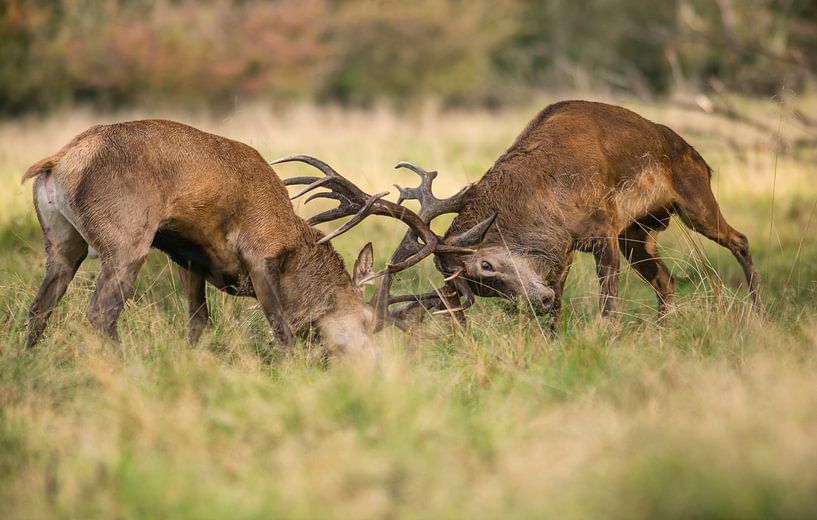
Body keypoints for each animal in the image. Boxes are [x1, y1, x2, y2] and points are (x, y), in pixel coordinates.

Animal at [21, 120, 490, 355]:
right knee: (100, 313)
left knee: (40, 307)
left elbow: (198, 324)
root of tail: (57, 162)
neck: (295, 248)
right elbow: (281, 330)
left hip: (62, 241)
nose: (372, 363)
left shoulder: (188, 258)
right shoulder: (259, 253)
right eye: (364, 322)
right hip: (126, 237)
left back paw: (28, 363)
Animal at [304, 100, 762, 328]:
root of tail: (701, 158)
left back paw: (759, 312)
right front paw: (555, 338)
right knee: (666, 279)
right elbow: (560, 305)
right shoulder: (570, 250)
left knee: (740, 239)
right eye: (484, 289)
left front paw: (607, 339)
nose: (535, 300)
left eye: (486, 265)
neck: (550, 203)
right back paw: (665, 330)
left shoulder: (602, 227)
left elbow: (607, 307)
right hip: (638, 233)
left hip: (694, 200)